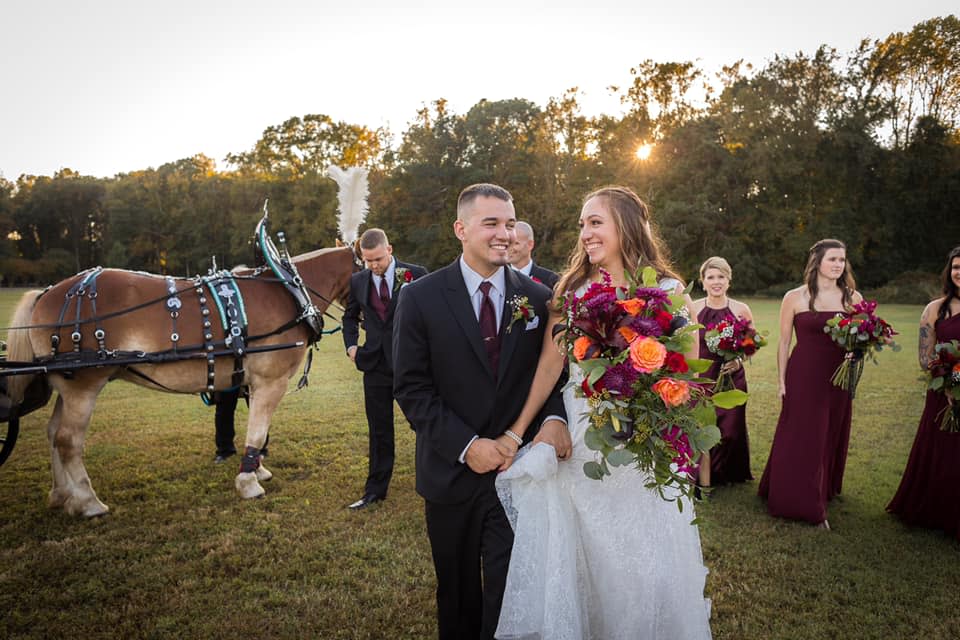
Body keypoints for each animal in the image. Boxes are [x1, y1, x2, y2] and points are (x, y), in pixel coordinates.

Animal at [5, 245, 354, 516]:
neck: (288, 289)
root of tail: (46, 293)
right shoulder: (270, 381)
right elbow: (257, 431)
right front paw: (248, 484)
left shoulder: (252, 383)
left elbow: (258, 429)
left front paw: (258, 469)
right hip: (83, 386)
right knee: (68, 440)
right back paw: (89, 502)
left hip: (64, 387)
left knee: (52, 433)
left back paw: (61, 495)